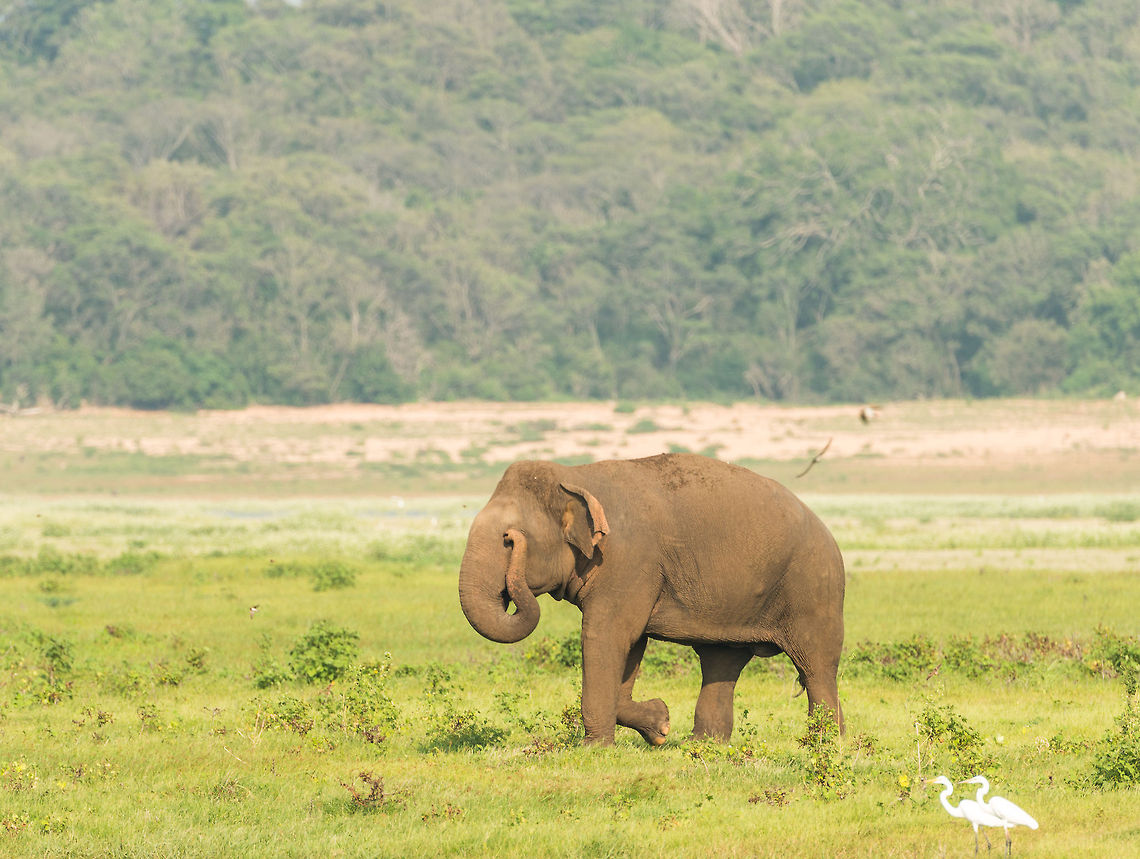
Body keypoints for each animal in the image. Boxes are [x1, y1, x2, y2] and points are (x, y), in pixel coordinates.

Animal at [457, 452, 845, 746]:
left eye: (507, 539)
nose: (512, 538)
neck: (576, 475)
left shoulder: (629, 561)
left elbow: (607, 635)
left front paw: (595, 748)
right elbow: (631, 644)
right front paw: (660, 725)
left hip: (813, 589)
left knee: (816, 666)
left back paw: (825, 744)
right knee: (721, 662)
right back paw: (704, 745)